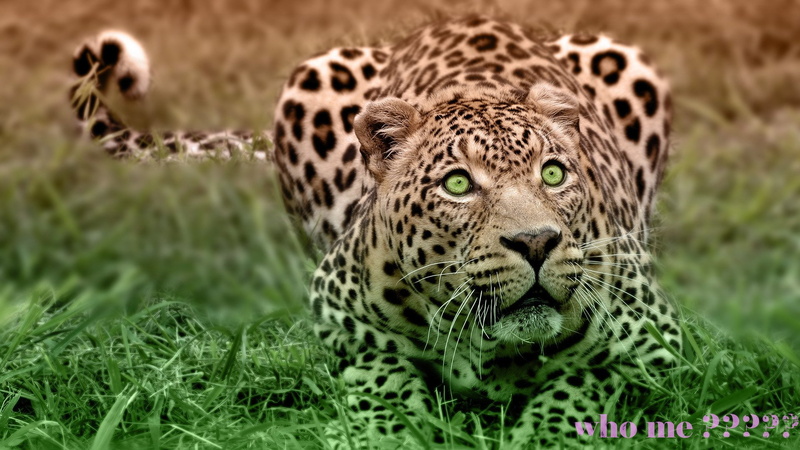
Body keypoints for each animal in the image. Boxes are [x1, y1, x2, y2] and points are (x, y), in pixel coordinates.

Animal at [69, 16, 681, 448]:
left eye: (553, 174)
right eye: (458, 184)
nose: (536, 243)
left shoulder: (654, 340)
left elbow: (582, 383)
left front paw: (548, 433)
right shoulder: (339, 319)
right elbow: (380, 379)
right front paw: (386, 431)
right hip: (310, 81)